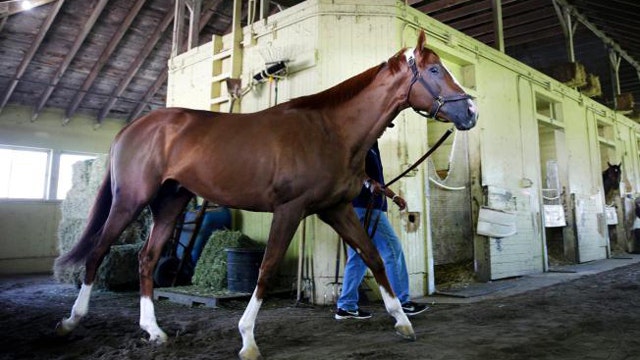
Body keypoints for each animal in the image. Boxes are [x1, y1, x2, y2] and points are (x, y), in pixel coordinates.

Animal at [53, 31, 476, 360]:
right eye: (435, 71)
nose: (470, 112)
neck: (329, 131)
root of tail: (134, 127)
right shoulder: (290, 210)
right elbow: (268, 267)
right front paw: (247, 339)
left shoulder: (336, 209)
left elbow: (372, 256)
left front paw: (402, 321)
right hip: (130, 200)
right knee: (98, 251)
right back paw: (71, 320)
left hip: (171, 202)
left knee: (147, 258)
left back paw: (154, 331)